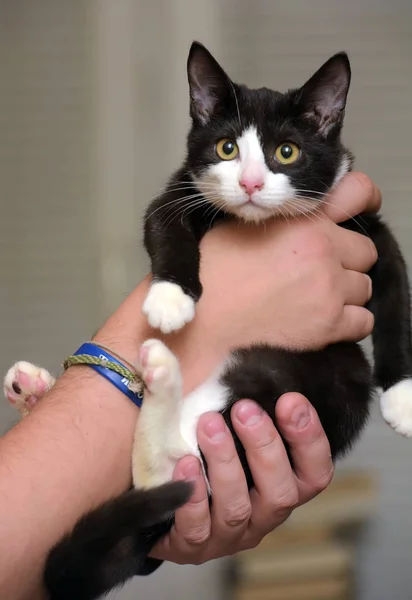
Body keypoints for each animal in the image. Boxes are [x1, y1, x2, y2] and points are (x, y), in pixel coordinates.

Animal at [5, 42, 412, 600]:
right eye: (226, 149)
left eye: (287, 152)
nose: (250, 182)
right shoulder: (180, 191)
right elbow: (164, 223)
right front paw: (171, 297)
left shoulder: (368, 228)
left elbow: (395, 294)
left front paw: (402, 396)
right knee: (163, 472)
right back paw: (65, 385)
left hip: (307, 382)